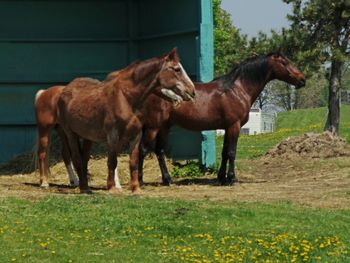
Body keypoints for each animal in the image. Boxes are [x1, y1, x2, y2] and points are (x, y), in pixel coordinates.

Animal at [35, 49, 196, 194]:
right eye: (177, 69)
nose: (192, 91)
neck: (126, 98)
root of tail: (62, 91)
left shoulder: (135, 136)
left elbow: (133, 162)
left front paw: (135, 189)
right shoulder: (113, 136)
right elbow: (112, 162)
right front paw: (112, 187)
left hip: (85, 137)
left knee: (82, 158)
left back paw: (83, 185)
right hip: (65, 132)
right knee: (70, 157)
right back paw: (69, 186)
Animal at [138, 52, 304, 186]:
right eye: (285, 63)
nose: (302, 79)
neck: (237, 90)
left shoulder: (227, 127)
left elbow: (224, 152)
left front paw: (221, 178)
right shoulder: (234, 126)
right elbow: (231, 152)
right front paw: (231, 179)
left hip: (163, 127)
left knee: (159, 151)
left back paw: (167, 180)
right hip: (153, 127)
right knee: (143, 149)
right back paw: (140, 181)